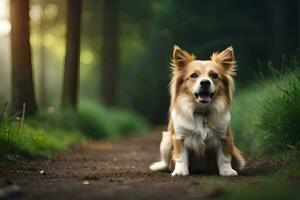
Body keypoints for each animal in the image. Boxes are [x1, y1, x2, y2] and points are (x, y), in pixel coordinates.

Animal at [150, 45, 246, 177]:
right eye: (194, 75)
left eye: (214, 75)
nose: (205, 82)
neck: (202, 112)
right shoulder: (179, 137)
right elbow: (180, 157)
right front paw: (180, 171)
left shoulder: (224, 137)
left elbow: (225, 157)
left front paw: (227, 171)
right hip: (165, 142)